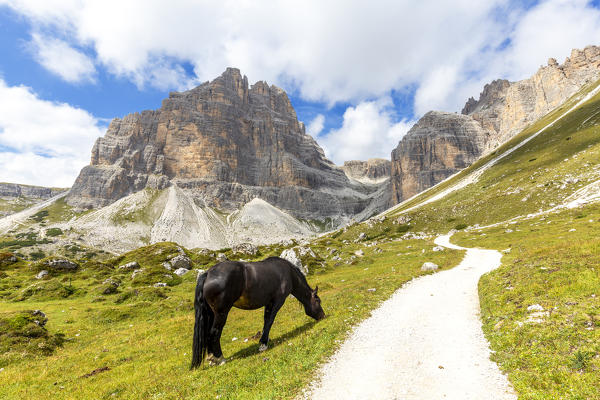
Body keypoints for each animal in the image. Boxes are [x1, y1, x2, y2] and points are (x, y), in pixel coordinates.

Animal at [191, 256, 324, 368]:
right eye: (318, 301)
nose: (323, 315)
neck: (288, 274)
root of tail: (208, 274)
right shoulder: (278, 301)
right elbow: (270, 321)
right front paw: (263, 344)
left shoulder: (268, 303)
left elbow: (266, 320)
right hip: (221, 313)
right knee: (214, 332)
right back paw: (219, 358)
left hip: (211, 313)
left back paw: (212, 358)